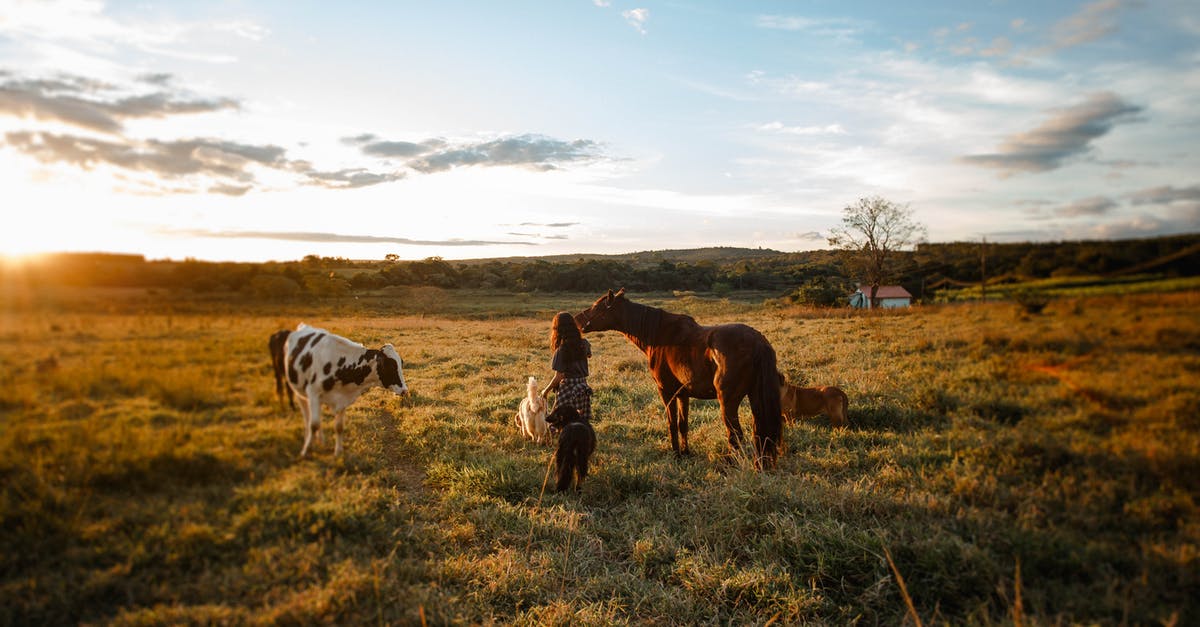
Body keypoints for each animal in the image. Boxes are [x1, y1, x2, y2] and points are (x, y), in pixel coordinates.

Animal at [283, 321, 410, 454]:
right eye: (388, 366)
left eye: (401, 363)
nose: (405, 390)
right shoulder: (313, 393)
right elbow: (314, 425)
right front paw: (306, 450)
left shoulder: (341, 398)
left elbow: (339, 427)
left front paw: (338, 452)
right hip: (299, 391)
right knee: (307, 417)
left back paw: (321, 440)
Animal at [573, 287, 782, 463]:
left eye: (597, 306)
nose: (576, 320)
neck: (659, 336)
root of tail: (758, 342)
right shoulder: (683, 394)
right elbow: (683, 424)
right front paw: (686, 452)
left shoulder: (666, 392)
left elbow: (672, 423)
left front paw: (676, 454)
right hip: (756, 398)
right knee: (759, 433)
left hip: (728, 402)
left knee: (735, 435)